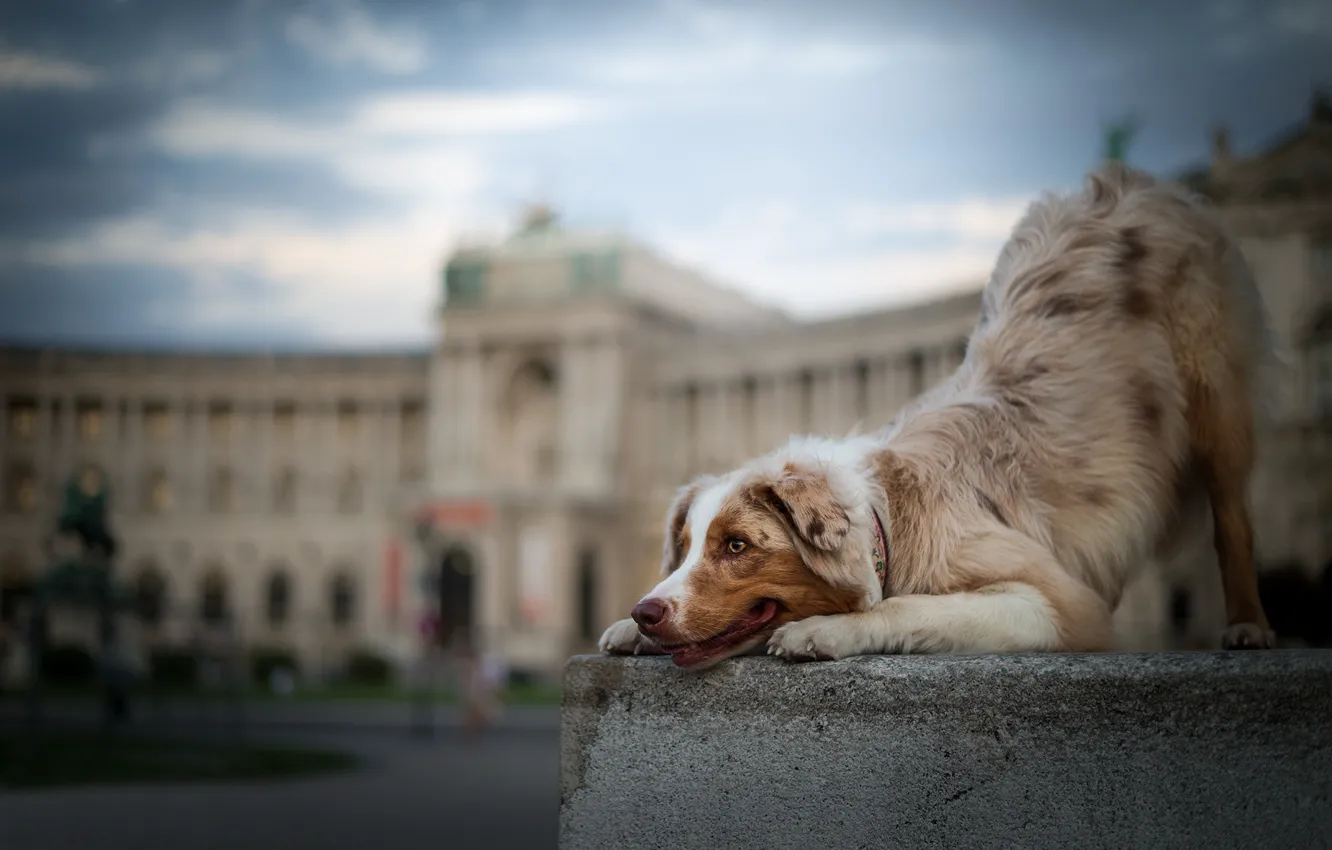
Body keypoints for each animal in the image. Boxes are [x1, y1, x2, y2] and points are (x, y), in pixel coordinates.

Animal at [602, 163, 1278, 671]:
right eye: (684, 548)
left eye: (738, 545)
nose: (645, 611)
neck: (889, 521)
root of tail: (1123, 180)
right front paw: (626, 632)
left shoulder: (1056, 602)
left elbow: (910, 607)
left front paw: (826, 630)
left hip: (1216, 396)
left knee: (1233, 517)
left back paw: (1248, 626)